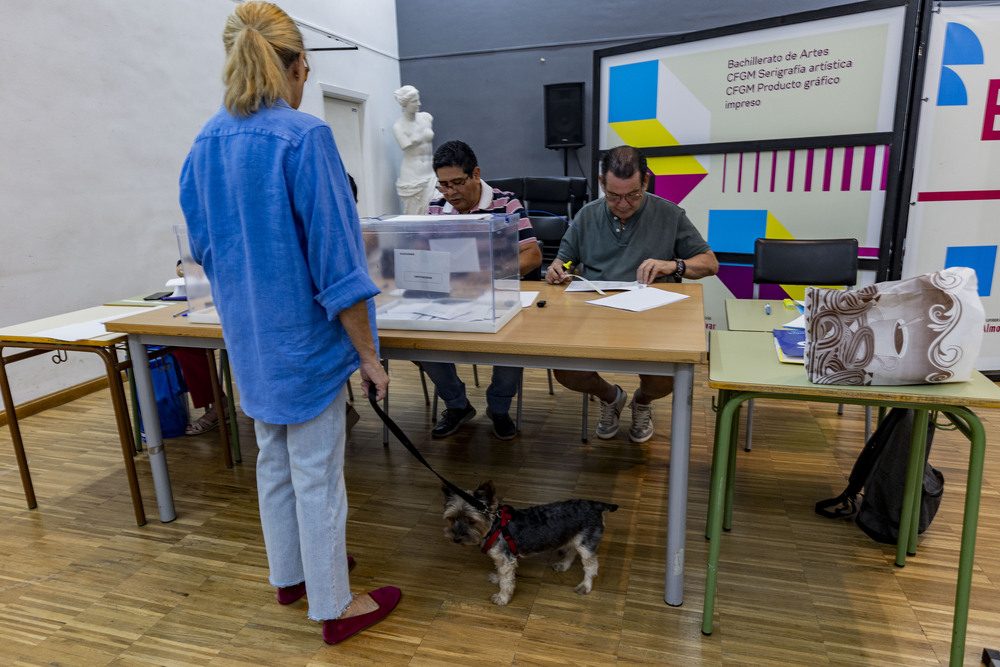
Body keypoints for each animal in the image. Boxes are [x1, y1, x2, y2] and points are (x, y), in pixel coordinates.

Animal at [440, 480, 612, 604]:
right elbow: (500, 573)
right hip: (574, 537)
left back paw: (585, 586)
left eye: (471, 521)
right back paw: (563, 565)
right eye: (452, 519)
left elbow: (506, 581)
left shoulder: (507, 560)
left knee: (590, 566)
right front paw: (497, 578)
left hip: (586, 543)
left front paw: (502, 598)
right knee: (571, 550)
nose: (456, 539)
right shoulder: (501, 559)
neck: (494, 526)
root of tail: (595, 505)